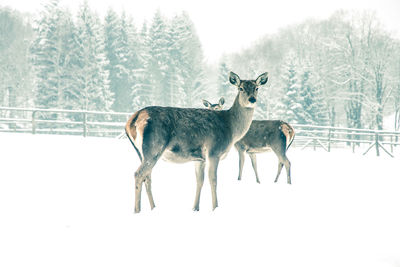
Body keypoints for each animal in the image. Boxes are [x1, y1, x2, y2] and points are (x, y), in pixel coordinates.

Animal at [126, 71, 268, 214]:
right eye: (241, 88)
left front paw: (195, 208)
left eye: (257, 88)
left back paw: (153, 208)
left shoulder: (199, 159)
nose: (252, 99)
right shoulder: (213, 151)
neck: (231, 128)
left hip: (142, 152)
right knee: (139, 174)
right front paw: (215, 208)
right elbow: (213, 180)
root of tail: (132, 120)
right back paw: (137, 210)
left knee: (147, 177)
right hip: (154, 146)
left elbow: (199, 181)